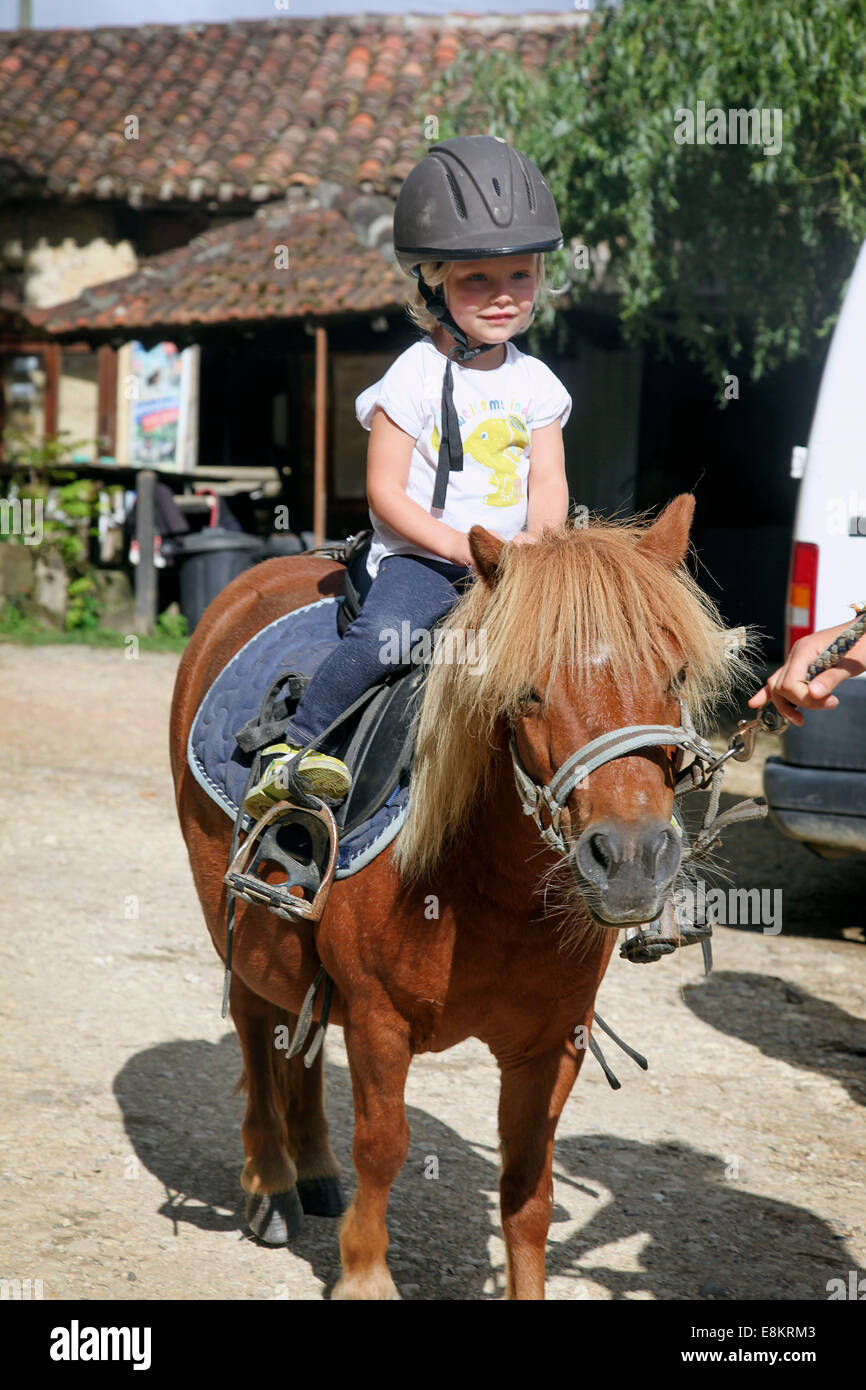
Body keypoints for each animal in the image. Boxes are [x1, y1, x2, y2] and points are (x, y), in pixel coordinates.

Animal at [170, 494, 745, 1295]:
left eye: (675, 675)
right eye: (527, 689)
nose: (631, 861)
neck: (492, 893)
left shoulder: (554, 1040)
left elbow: (528, 1187)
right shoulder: (381, 1020)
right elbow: (384, 1146)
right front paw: (364, 1277)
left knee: (299, 1039)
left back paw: (313, 1170)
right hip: (241, 928)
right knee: (259, 1031)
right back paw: (272, 1183)